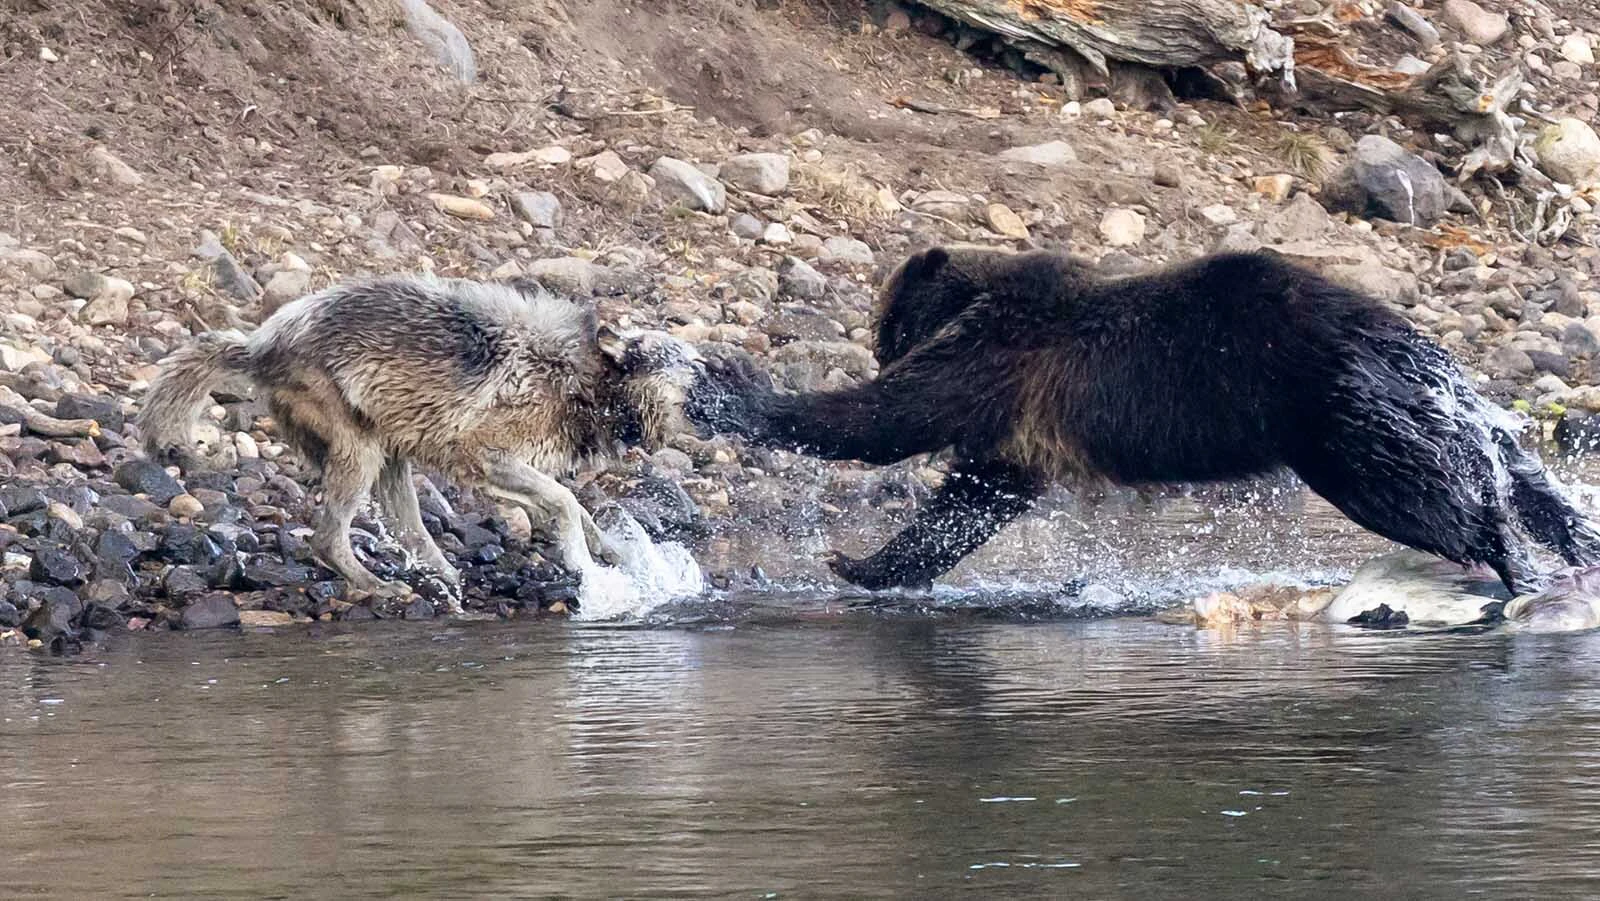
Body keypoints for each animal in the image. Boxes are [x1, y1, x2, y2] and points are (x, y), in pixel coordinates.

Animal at [138, 274, 703, 599]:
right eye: (698, 367)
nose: (722, 373)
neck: (582, 379)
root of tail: (257, 343)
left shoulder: (506, 469)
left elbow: (578, 509)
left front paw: (617, 553)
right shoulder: (485, 456)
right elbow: (566, 501)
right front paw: (595, 570)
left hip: (392, 457)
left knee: (409, 533)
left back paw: (447, 580)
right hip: (362, 455)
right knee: (327, 538)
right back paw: (381, 587)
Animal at [685, 245, 1600, 598]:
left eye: (887, 321)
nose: (877, 342)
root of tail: (1408, 345)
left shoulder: (997, 361)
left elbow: (885, 422)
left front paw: (720, 386)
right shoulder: (1018, 429)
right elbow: (971, 499)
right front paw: (869, 563)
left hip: (1336, 415)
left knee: (1421, 493)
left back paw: (1510, 560)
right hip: (1449, 405)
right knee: (1521, 474)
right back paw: (1571, 545)